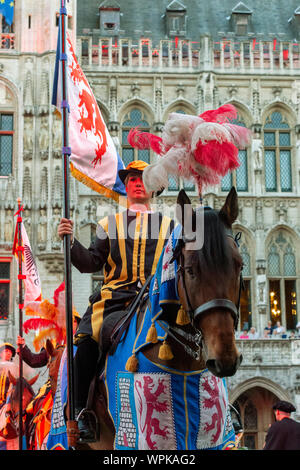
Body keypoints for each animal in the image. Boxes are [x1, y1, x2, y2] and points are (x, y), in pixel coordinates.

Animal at [56, 185, 241, 450]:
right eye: (190, 269)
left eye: (239, 265)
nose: (225, 358)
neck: (185, 365)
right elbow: (93, 258)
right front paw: (66, 232)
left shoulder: (212, 437)